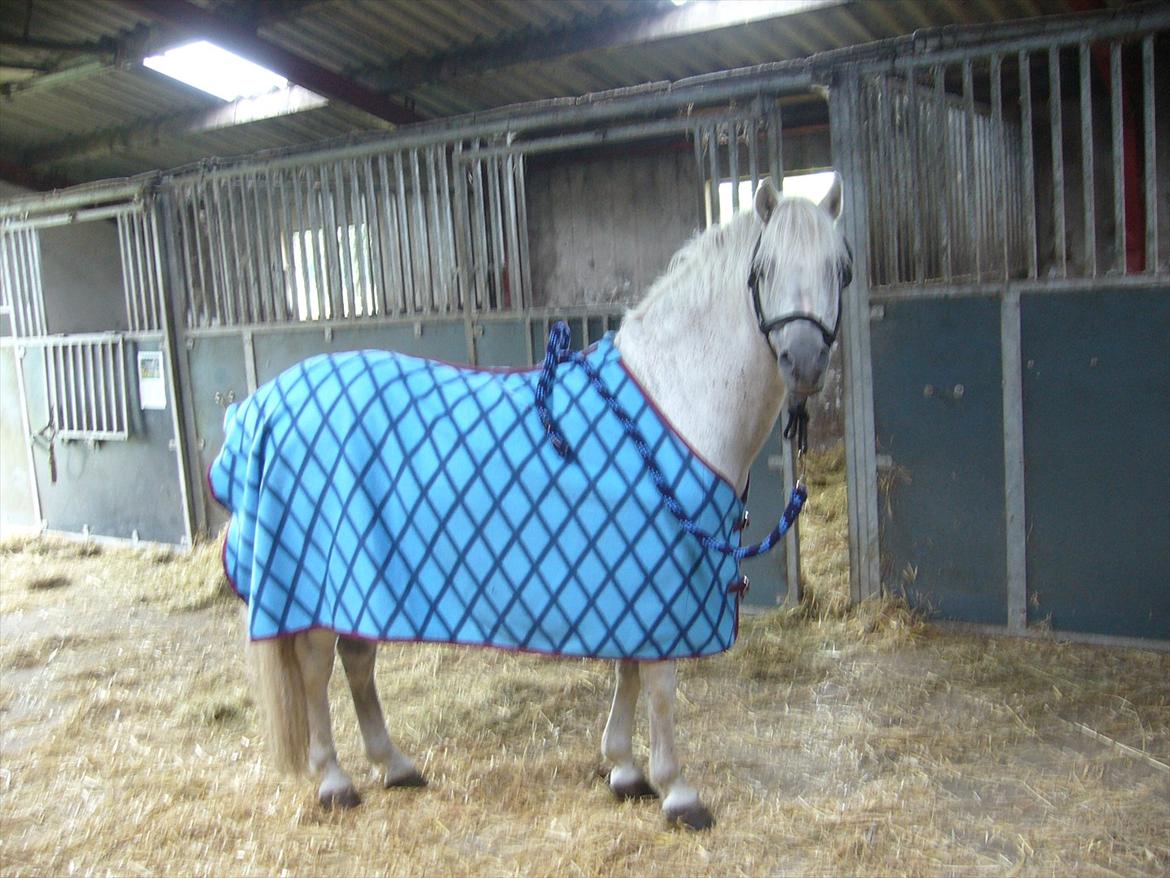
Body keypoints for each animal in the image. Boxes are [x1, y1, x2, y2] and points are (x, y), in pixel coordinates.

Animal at [209, 177, 851, 830]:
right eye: (763, 269)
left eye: (840, 269)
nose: (804, 363)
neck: (675, 396)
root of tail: (261, 405)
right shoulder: (659, 584)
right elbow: (660, 685)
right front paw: (677, 791)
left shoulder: (634, 587)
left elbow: (629, 670)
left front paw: (624, 770)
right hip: (312, 581)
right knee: (317, 666)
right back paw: (334, 780)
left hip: (360, 582)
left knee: (357, 659)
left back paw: (395, 764)